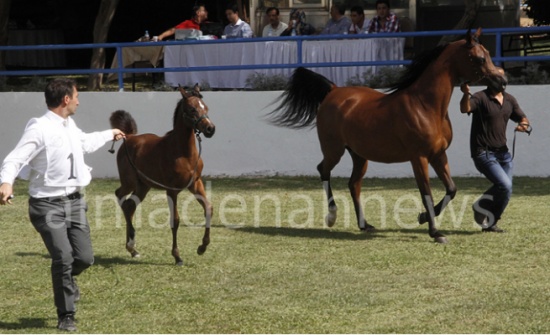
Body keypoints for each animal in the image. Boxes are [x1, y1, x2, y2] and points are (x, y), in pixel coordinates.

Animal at [109, 85, 216, 266]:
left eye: (206, 107)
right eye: (192, 109)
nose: (210, 129)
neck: (183, 153)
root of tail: (129, 137)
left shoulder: (195, 183)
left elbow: (208, 208)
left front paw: (202, 247)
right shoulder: (171, 190)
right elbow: (175, 220)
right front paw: (177, 256)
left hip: (143, 186)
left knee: (130, 205)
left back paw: (133, 249)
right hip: (130, 182)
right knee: (121, 196)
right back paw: (131, 243)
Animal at [270, 28, 508, 244]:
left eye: (488, 53)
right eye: (480, 58)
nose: (501, 81)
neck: (425, 106)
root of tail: (334, 90)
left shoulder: (438, 155)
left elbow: (451, 189)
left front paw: (423, 218)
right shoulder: (419, 158)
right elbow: (426, 192)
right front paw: (435, 233)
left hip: (359, 155)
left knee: (353, 184)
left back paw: (364, 225)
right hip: (334, 150)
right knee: (323, 170)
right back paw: (332, 216)